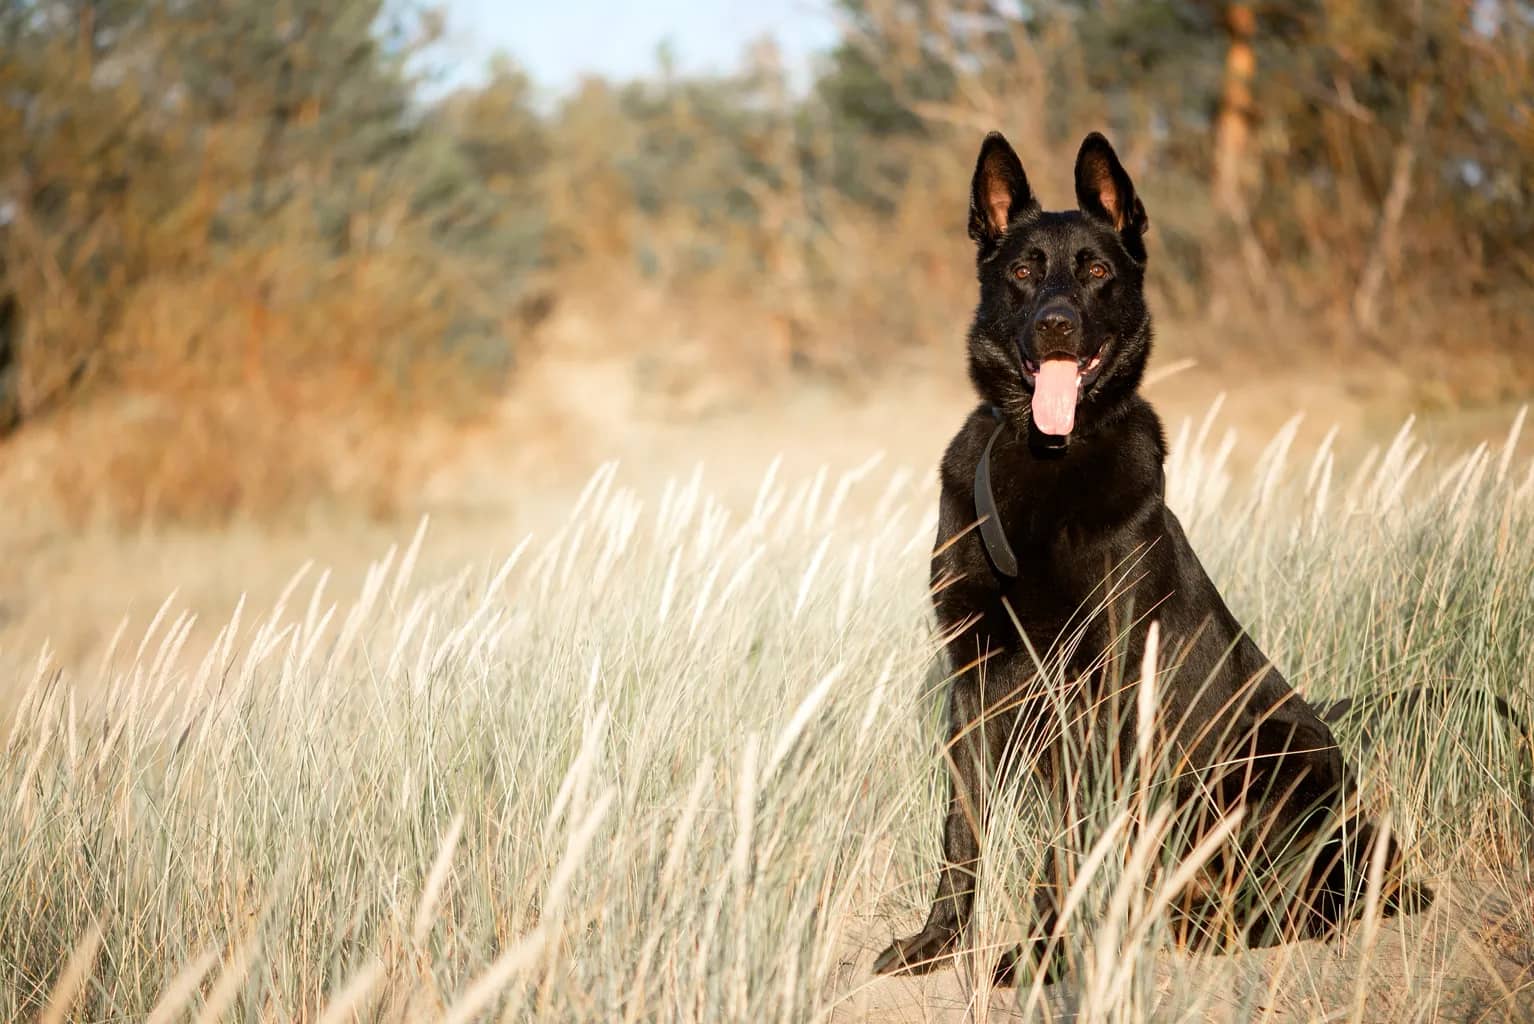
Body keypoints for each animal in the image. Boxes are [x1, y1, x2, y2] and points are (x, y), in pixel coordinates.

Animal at [877, 131, 1435, 981]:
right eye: (1023, 271)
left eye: (1096, 271)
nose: (1056, 325)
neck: (1047, 460)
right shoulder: (971, 682)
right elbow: (961, 831)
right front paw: (938, 941)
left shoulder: (1099, 692)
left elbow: (1064, 842)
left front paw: (1041, 954)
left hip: (1281, 763)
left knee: (1283, 902)